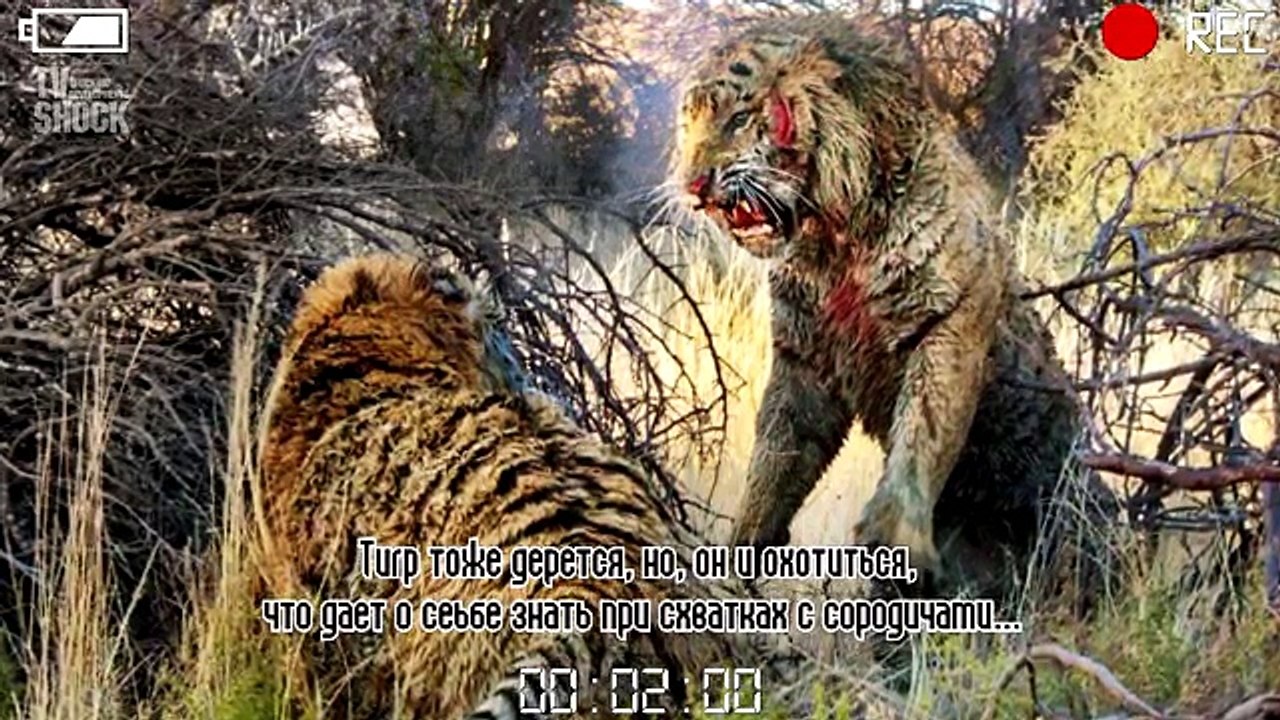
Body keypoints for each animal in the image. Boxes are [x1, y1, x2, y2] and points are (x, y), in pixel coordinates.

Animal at [670, 14, 1120, 626]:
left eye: (739, 119)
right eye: (687, 123)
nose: (692, 187)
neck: (832, 238)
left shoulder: (946, 325)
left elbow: (923, 435)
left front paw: (894, 537)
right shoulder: (804, 360)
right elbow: (774, 460)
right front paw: (737, 557)